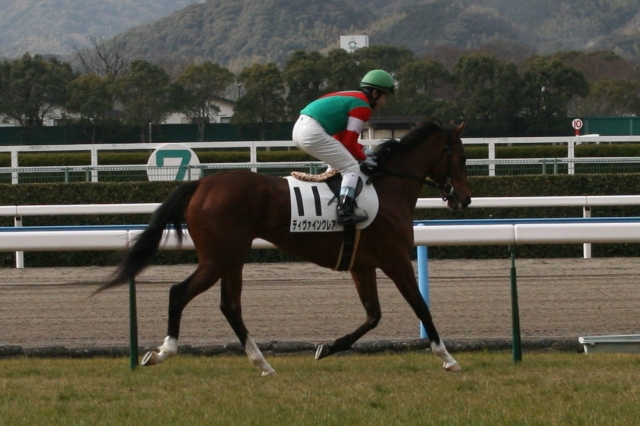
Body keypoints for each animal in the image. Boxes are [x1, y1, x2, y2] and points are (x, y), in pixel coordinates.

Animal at [95, 119, 471, 375]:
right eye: (463, 157)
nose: (464, 200)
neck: (389, 188)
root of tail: (202, 184)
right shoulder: (395, 260)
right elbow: (421, 307)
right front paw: (447, 357)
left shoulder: (362, 265)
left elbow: (372, 316)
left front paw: (326, 348)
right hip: (219, 257)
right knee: (180, 292)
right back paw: (164, 351)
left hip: (232, 257)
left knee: (230, 306)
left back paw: (262, 363)